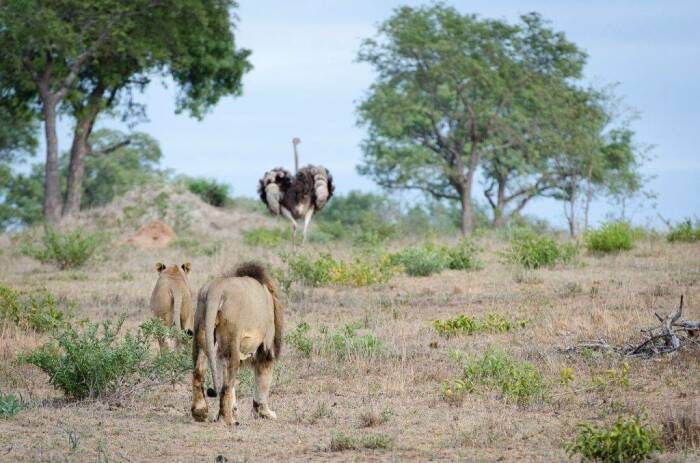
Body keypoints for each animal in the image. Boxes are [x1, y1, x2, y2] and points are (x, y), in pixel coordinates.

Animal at [190, 262, 284, 426]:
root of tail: (217, 288)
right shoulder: (266, 347)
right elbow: (263, 380)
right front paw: (265, 413)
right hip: (232, 339)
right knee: (226, 384)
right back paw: (228, 420)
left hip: (201, 330)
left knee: (199, 371)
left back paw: (200, 413)